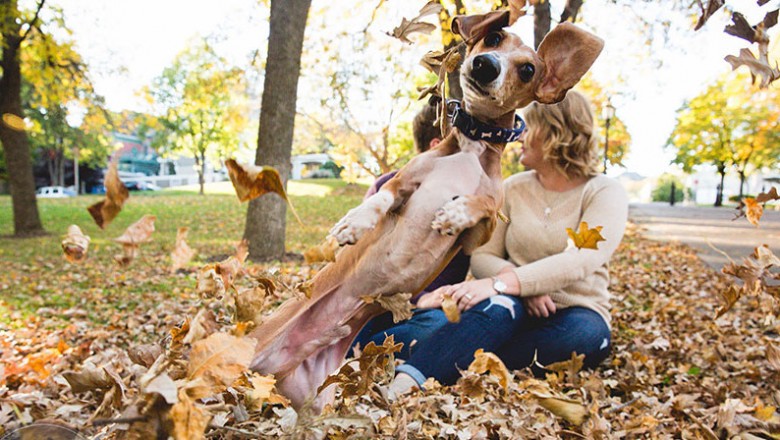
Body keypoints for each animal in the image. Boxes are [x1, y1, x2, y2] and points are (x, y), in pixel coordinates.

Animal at [250, 9, 604, 410]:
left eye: (528, 70)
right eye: (494, 37)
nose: (485, 65)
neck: (471, 145)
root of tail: (278, 371)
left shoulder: (477, 235)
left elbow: (482, 205)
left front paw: (455, 212)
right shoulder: (403, 183)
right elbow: (381, 199)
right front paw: (354, 223)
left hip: (318, 400)